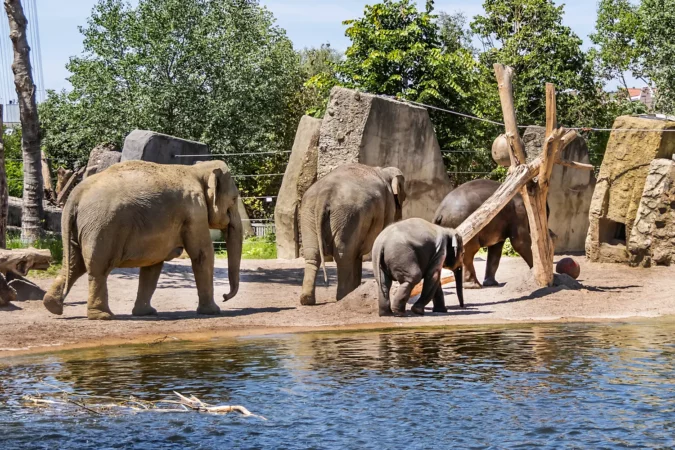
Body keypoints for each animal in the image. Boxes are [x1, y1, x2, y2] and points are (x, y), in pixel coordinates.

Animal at [42, 160, 242, 320]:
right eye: (234, 199)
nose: (225, 296)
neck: (197, 169)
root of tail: (75, 194)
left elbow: (153, 264)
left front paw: (147, 312)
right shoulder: (194, 211)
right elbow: (202, 255)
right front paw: (214, 311)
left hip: (80, 227)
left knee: (73, 264)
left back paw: (52, 306)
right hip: (102, 227)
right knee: (97, 268)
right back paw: (102, 316)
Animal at [299, 163, 406, 306]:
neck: (383, 170)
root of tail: (324, 194)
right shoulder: (388, 205)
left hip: (308, 214)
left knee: (312, 254)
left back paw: (307, 300)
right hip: (348, 216)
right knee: (343, 255)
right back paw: (343, 296)